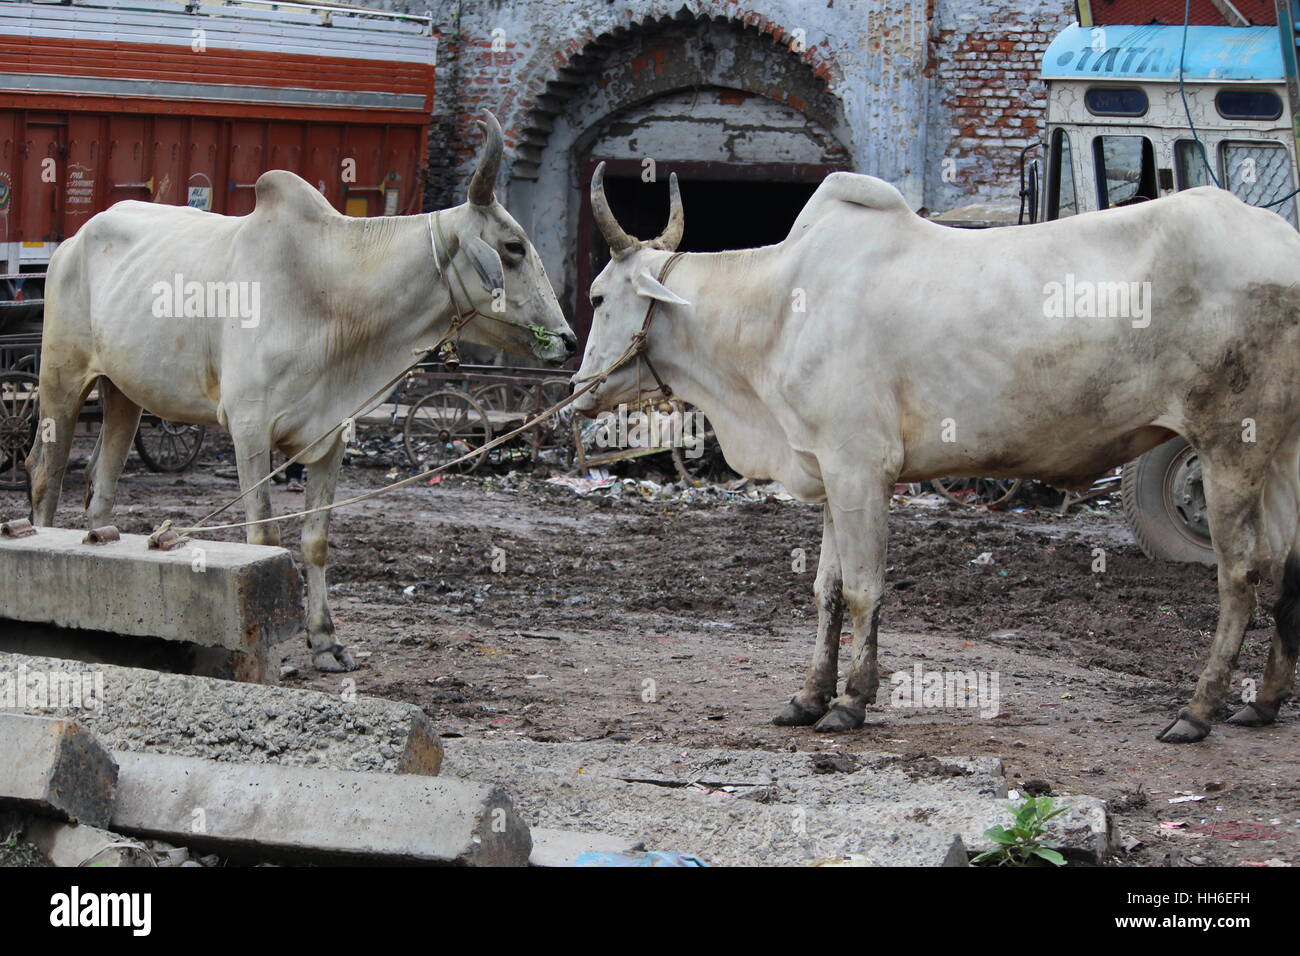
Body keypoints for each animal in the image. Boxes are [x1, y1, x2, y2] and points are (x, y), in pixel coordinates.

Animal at [24, 111, 574, 671]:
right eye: (513, 247)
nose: (568, 341)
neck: (333, 293)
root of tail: (74, 239)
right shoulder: (249, 430)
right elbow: (264, 535)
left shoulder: (331, 436)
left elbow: (316, 539)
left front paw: (325, 641)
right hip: (61, 381)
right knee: (47, 477)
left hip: (123, 394)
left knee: (101, 486)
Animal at [579, 164, 1300, 743]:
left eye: (597, 297)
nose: (577, 389)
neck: (780, 308)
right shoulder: (831, 470)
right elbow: (826, 589)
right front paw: (808, 697)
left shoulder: (860, 466)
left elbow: (863, 590)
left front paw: (850, 702)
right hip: (1282, 453)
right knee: (1287, 565)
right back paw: (1262, 703)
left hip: (1231, 444)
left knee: (1241, 573)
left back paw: (1198, 711)